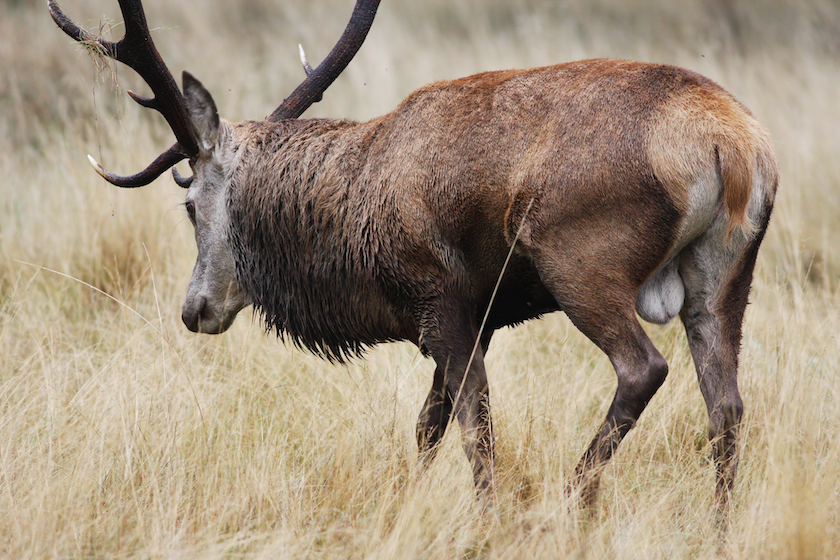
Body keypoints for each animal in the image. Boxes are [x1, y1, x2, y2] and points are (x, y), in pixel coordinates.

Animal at [49, 0, 776, 520]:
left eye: (190, 204)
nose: (194, 308)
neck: (354, 228)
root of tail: (733, 147)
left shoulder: (441, 300)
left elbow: (474, 427)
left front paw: (487, 523)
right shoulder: (476, 316)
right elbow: (428, 427)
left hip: (579, 258)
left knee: (643, 367)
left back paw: (570, 503)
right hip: (726, 279)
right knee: (727, 406)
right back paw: (717, 530)